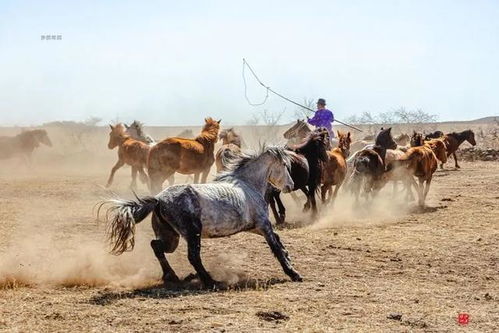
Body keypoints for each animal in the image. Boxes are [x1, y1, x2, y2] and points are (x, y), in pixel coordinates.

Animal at [100, 145, 302, 288]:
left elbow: (278, 241)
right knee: (193, 257)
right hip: (192, 233)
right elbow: (275, 246)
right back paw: (211, 282)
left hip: (171, 236)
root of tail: (159, 199)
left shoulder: (254, 227)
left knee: (156, 246)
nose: (291, 185)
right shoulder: (263, 224)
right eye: (285, 165)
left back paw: (172, 276)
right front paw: (293, 273)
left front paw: (289, 259)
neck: (247, 185)